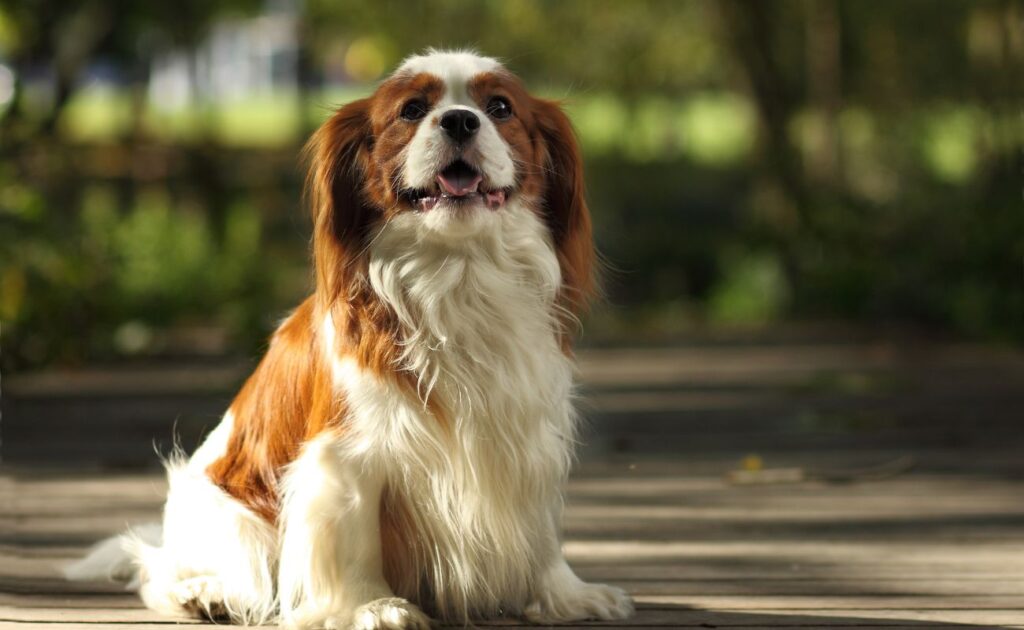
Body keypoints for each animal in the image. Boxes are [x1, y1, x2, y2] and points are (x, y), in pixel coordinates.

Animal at [66, 49, 634, 629]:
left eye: (500, 108)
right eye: (412, 111)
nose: (459, 120)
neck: (459, 272)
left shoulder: (527, 435)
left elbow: (540, 529)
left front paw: (566, 594)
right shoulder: (345, 457)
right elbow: (354, 536)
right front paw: (373, 605)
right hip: (230, 522)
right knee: (159, 571)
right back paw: (204, 593)